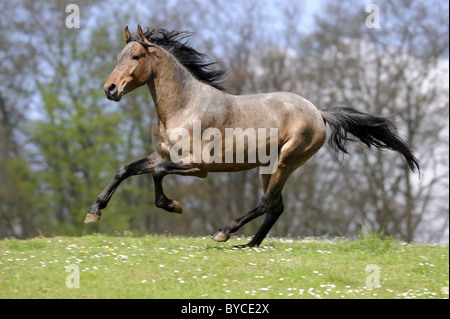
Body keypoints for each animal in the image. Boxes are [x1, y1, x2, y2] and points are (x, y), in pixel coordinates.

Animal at [83, 26, 418, 249]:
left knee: (267, 202)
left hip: (286, 161)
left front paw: (173, 205)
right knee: (276, 206)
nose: (110, 89)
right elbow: (125, 170)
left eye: (136, 56)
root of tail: (318, 113)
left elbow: (159, 176)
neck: (183, 106)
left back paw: (224, 232)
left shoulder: (198, 166)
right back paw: (248, 245)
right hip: (268, 167)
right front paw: (93, 213)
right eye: (119, 55)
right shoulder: (162, 156)